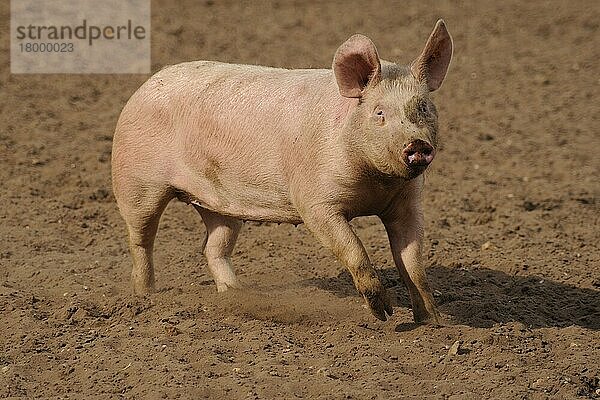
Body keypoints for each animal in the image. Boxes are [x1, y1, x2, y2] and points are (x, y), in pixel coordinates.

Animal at [112, 20, 452, 324]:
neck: (377, 184)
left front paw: (433, 322)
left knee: (213, 247)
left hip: (219, 204)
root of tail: (146, 85)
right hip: (135, 180)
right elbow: (353, 248)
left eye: (423, 107)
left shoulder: (407, 203)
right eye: (379, 113)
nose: (417, 144)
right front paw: (385, 314)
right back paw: (145, 297)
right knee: (140, 240)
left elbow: (413, 263)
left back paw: (236, 294)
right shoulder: (314, 201)